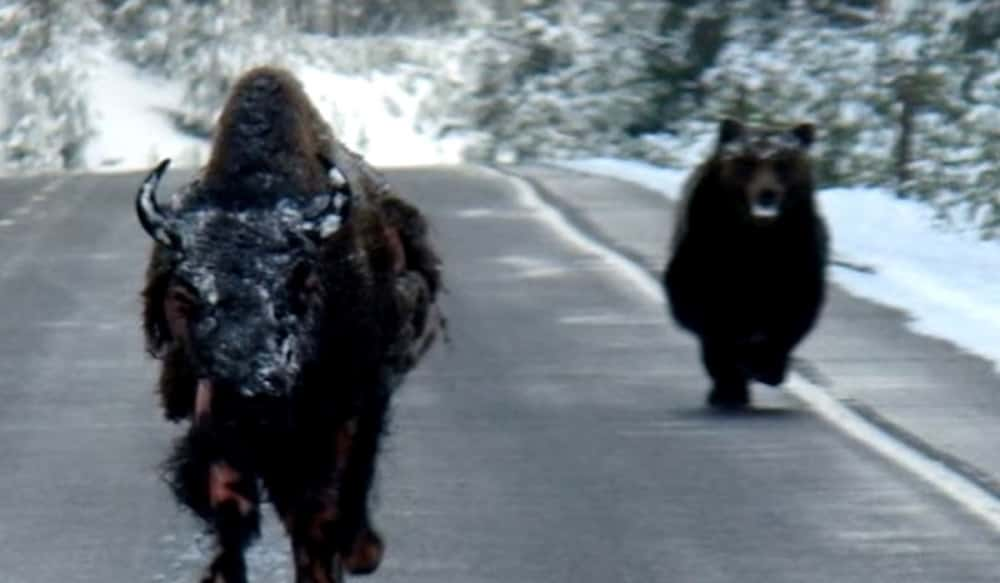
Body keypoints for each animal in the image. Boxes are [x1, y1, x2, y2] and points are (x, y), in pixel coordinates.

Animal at [136, 66, 442, 580]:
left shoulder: (338, 416)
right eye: (185, 292)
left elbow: (319, 513)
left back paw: (361, 551)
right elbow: (232, 509)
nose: (249, 391)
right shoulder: (219, 430)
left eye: (300, 280)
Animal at [664, 117, 828, 410]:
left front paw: (765, 365)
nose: (767, 193)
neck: (754, 239)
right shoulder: (704, 254)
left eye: (783, 162)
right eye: (747, 161)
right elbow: (705, 314)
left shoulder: (797, 256)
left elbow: (793, 312)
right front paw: (731, 381)